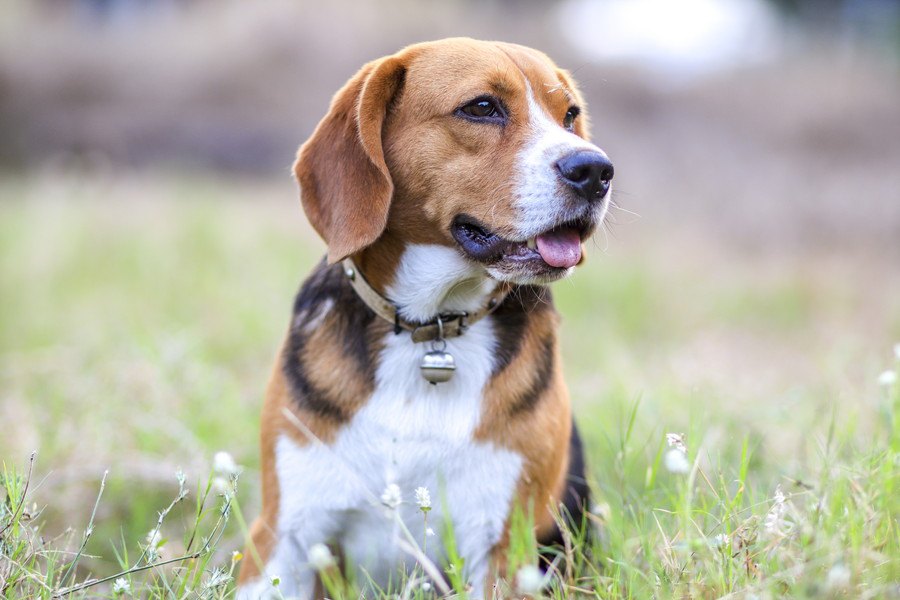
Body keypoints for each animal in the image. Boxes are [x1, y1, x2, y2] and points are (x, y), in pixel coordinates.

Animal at [237, 38, 612, 600]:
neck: (431, 330)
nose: (596, 170)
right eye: (482, 107)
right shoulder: (284, 536)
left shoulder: (500, 548)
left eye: (569, 115)